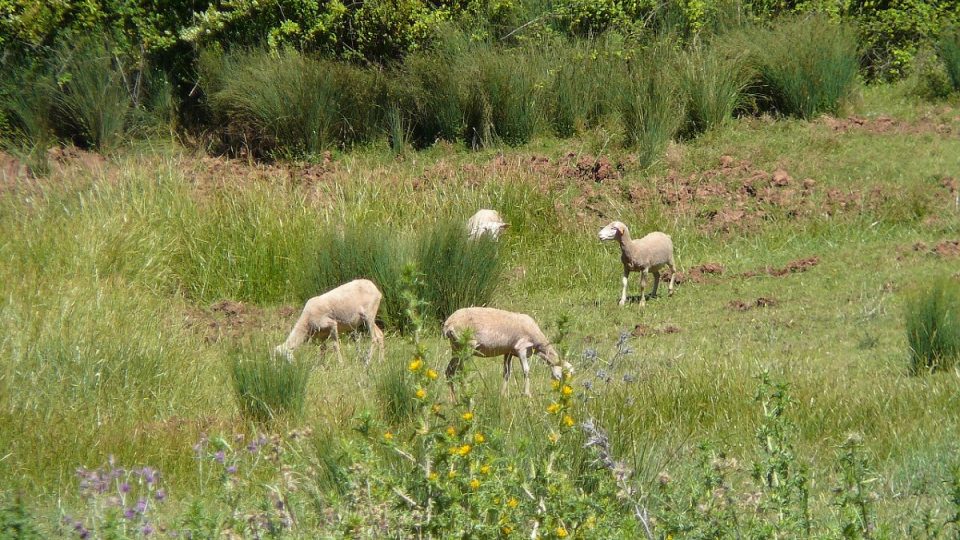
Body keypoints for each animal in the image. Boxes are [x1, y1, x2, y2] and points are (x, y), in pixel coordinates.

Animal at [440, 306, 568, 398]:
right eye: (567, 373)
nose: (564, 391)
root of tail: (448, 324)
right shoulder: (521, 348)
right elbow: (526, 371)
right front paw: (527, 394)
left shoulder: (509, 352)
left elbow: (506, 373)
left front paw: (503, 395)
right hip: (466, 347)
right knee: (461, 373)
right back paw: (466, 395)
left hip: (456, 348)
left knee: (449, 372)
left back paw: (454, 400)